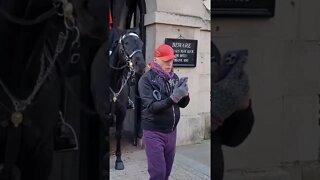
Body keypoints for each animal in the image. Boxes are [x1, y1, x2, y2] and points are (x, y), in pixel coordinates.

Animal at [90, 27, 145, 170]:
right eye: (126, 43)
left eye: (141, 43)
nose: (140, 65)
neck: (113, 81)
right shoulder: (103, 112)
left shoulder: (121, 111)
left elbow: (118, 133)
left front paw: (119, 160)